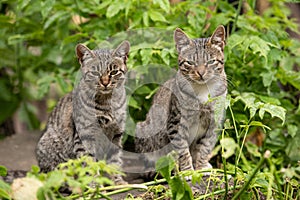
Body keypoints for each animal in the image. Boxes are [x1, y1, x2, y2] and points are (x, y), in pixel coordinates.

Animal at [35, 41, 129, 184]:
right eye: (95, 72)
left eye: (113, 71)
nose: (105, 82)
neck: (108, 102)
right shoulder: (85, 136)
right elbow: (88, 163)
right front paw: (93, 184)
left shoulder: (116, 134)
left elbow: (115, 162)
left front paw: (118, 182)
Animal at [135, 25, 226, 174]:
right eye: (190, 62)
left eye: (211, 61)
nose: (201, 73)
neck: (202, 90)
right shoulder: (176, 122)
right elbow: (183, 150)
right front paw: (188, 171)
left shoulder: (213, 123)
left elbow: (204, 148)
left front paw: (201, 167)